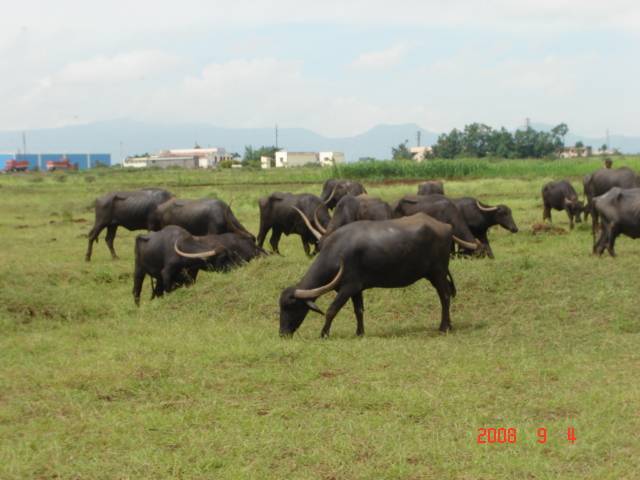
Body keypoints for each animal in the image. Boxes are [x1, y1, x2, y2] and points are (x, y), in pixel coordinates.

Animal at [133, 225, 265, 305]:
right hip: (139, 270)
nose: (237, 266)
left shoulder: (190, 275)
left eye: (231, 254)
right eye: (223, 258)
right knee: (136, 290)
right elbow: (168, 290)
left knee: (157, 291)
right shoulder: (167, 274)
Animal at [279, 213, 457, 337]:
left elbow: (331, 310)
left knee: (445, 296)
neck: (337, 253)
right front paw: (359, 332)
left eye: (291, 306)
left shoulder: (348, 288)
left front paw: (324, 334)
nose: (282, 333)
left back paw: (443, 327)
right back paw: (449, 325)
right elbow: (359, 310)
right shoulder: (356, 289)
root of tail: (446, 226)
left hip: (437, 273)